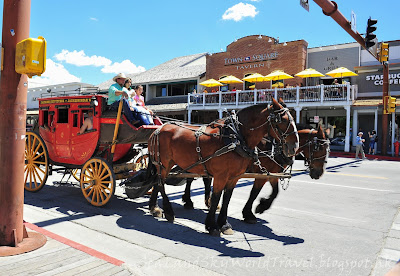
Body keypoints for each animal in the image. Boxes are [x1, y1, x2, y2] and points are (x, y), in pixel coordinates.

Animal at [148, 98, 298, 235]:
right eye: (283, 120)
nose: (294, 147)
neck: (236, 137)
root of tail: (158, 129)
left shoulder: (235, 177)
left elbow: (227, 198)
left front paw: (224, 224)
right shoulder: (221, 176)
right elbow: (216, 197)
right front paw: (212, 226)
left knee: (157, 182)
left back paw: (154, 207)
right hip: (164, 164)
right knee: (161, 184)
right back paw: (168, 211)